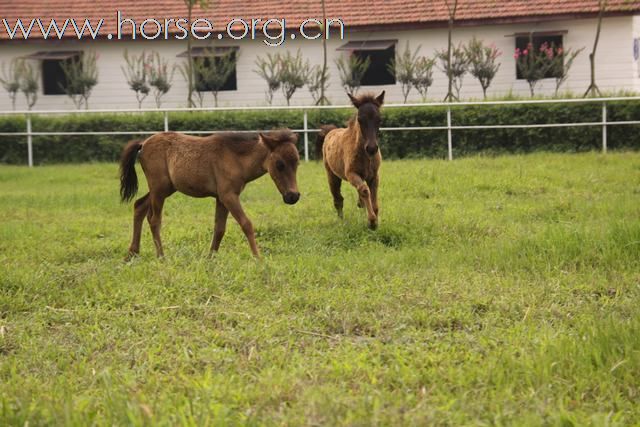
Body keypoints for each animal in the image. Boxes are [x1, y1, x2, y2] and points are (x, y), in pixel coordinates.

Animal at [119, 130, 300, 258]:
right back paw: (161, 256)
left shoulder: (221, 198)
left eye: (297, 162)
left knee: (139, 206)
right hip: (159, 189)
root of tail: (143, 143)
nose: (293, 196)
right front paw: (258, 258)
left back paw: (132, 253)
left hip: (164, 189)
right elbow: (246, 224)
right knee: (154, 219)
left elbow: (219, 228)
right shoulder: (229, 196)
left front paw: (210, 258)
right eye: (280, 164)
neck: (235, 158)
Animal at [320, 91, 384, 231]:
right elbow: (365, 190)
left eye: (379, 119)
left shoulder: (374, 176)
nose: (372, 148)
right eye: (360, 119)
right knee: (338, 199)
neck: (365, 155)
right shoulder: (351, 174)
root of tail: (330, 132)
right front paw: (372, 222)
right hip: (332, 175)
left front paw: (375, 221)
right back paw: (341, 222)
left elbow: (373, 200)